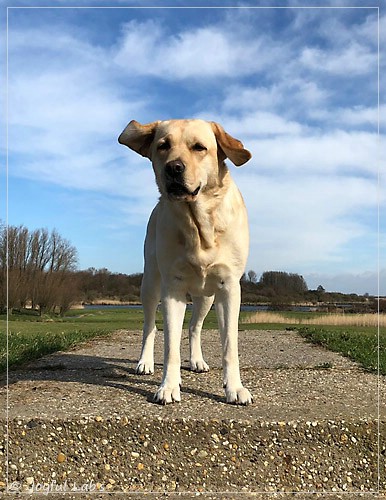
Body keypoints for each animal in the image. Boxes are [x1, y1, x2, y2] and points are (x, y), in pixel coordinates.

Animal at [120, 119, 253, 404]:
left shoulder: (229, 288)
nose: (173, 168)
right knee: (150, 326)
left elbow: (229, 345)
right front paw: (168, 387)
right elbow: (170, 346)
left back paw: (197, 361)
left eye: (199, 147)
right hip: (150, 284)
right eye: (163, 145)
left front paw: (235, 388)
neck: (199, 223)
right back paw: (145, 362)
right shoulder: (173, 288)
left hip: (206, 297)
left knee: (195, 326)